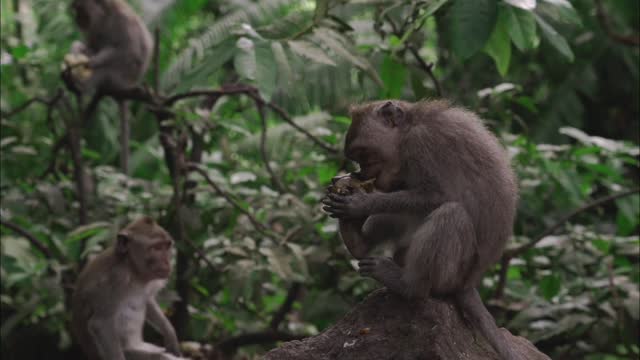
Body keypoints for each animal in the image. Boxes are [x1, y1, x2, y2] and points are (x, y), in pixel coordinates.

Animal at [64, 0, 153, 174]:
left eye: (79, 9)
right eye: (75, 9)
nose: (77, 19)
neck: (105, 15)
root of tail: (129, 85)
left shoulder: (122, 20)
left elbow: (128, 50)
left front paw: (92, 62)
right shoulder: (95, 27)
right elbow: (88, 45)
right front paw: (79, 52)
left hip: (119, 77)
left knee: (107, 68)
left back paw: (79, 84)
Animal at [73, 217, 188, 360]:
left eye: (166, 246)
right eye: (156, 248)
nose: (167, 263)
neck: (133, 270)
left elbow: (148, 300)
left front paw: (170, 335)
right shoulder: (114, 279)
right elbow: (101, 324)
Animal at [322, 100, 524, 360]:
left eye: (363, 154)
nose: (360, 173)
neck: (408, 130)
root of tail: (468, 283)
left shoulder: (422, 144)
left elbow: (438, 195)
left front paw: (360, 204)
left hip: (453, 273)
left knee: (451, 213)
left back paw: (409, 286)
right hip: (407, 250)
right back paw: (357, 241)